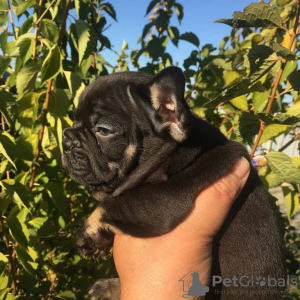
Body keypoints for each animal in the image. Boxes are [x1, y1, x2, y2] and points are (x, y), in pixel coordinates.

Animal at [62, 67, 286, 298]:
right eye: (74, 121)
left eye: (104, 130)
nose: (66, 138)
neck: (176, 154)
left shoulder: (168, 199)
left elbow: (113, 204)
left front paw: (87, 230)